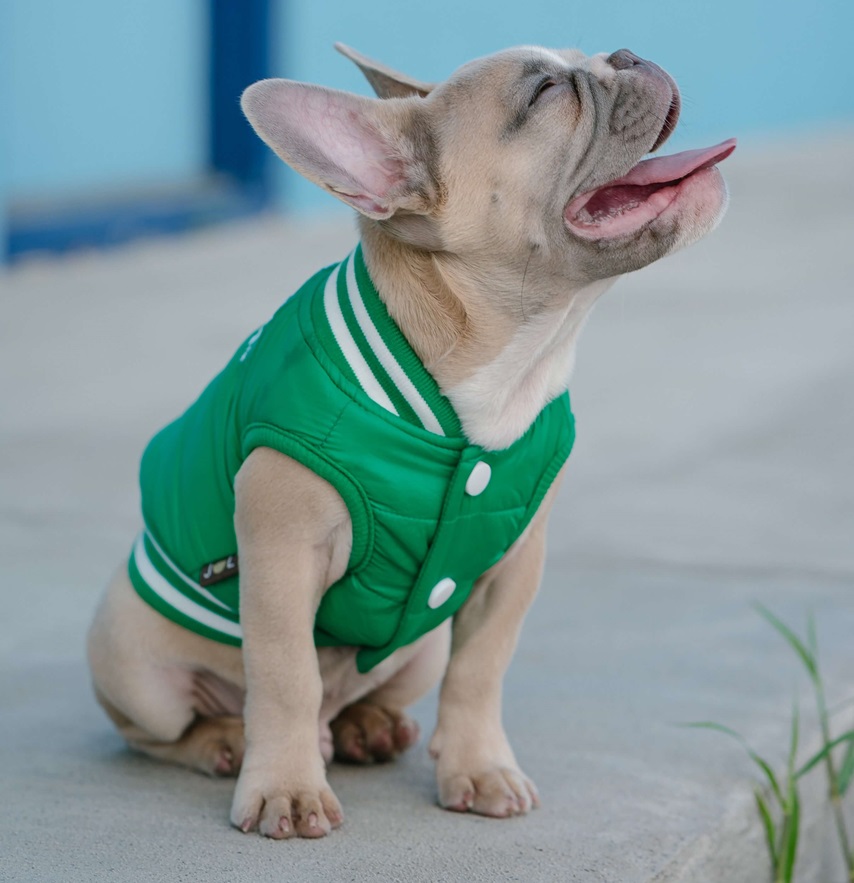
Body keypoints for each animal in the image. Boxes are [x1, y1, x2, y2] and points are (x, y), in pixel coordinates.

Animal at [90, 43, 740, 844]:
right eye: (546, 92)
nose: (627, 54)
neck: (496, 372)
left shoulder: (510, 564)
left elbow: (481, 670)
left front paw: (480, 767)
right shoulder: (280, 555)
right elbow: (285, 676)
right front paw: (284, 788)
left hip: (417, 648)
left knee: (362, 696)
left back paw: (368, 726)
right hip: (130, 659)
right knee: (161, 730)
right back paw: (225, 742)